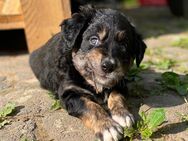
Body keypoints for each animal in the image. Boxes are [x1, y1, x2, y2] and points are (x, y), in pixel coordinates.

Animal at [29, 5, 147, 141]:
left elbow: (117, 95)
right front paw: (108, 127)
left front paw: (122, 114)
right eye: (93, 39)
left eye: (124, 45)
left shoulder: (120, 82)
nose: (109, 66)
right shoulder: (70, 93)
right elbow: (91, 106)